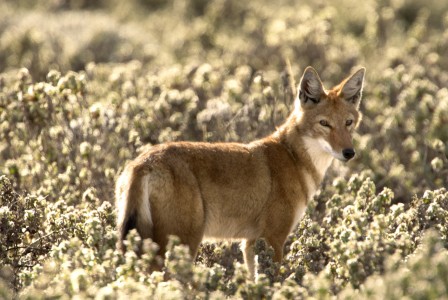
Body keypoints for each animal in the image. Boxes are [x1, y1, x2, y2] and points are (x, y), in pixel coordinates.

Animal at [114, 65, 364, 276]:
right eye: (324, 124)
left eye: (348, 122)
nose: (349, 153)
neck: (294, 158)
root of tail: (143, 162)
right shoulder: (274, 238)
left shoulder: (250, 243)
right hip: (182, 247)